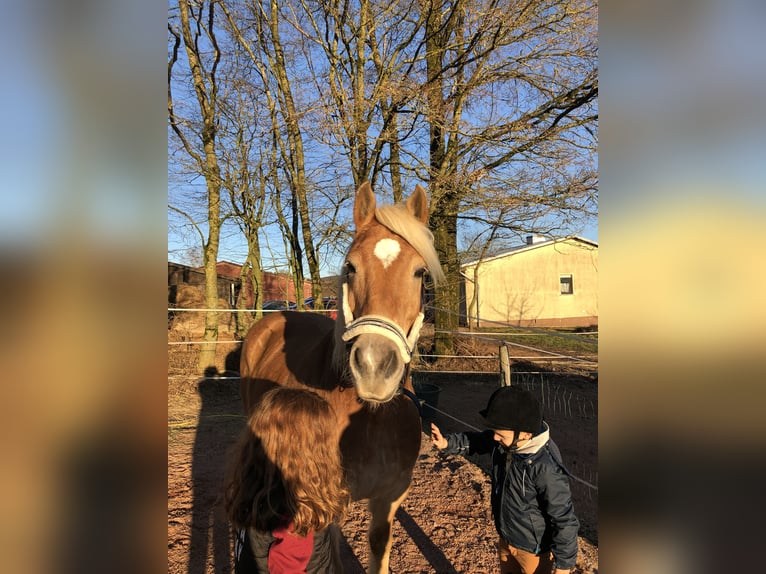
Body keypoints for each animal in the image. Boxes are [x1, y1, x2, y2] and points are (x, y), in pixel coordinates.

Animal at [238, 183, 444, 574]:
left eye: (420, 273)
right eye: (350, 267)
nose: (375, 366)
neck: (369, 419)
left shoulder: (391, 496)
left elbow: (379, 547)